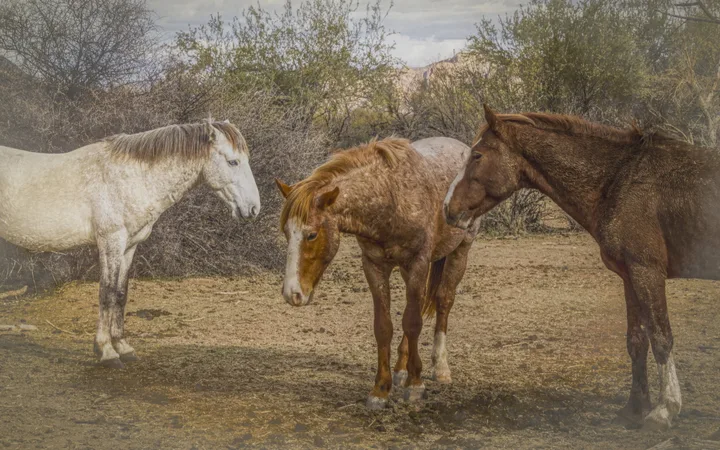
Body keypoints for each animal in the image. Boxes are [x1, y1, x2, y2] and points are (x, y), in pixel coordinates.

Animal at [0, 119, 261, 368]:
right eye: (233, 162)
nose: (254, 208)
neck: (131, 178)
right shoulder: (111, 242)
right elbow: (107, 293)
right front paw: (106, 352)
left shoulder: (129, 247)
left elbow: (121, 293)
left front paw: (123, 347)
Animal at [275, 136, 480, 409]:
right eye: (286, 232)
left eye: (312, 234)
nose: (292, 293)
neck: (390, 198)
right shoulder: (374, 266)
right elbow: (384, 326)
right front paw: (381, 389)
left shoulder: (418, 263)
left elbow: (412, 322)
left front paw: (415, 385)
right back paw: (402, 368)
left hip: (460, 251)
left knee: (444, 301)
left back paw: (440, 368)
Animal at [444, 105, 720, 429]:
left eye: (477, 155)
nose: (448, 208)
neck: (620, 178)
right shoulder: (630, 276)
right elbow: (637, 340)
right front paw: (635, 408)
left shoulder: (647, 272)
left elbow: (661, 337)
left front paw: (665, 409)